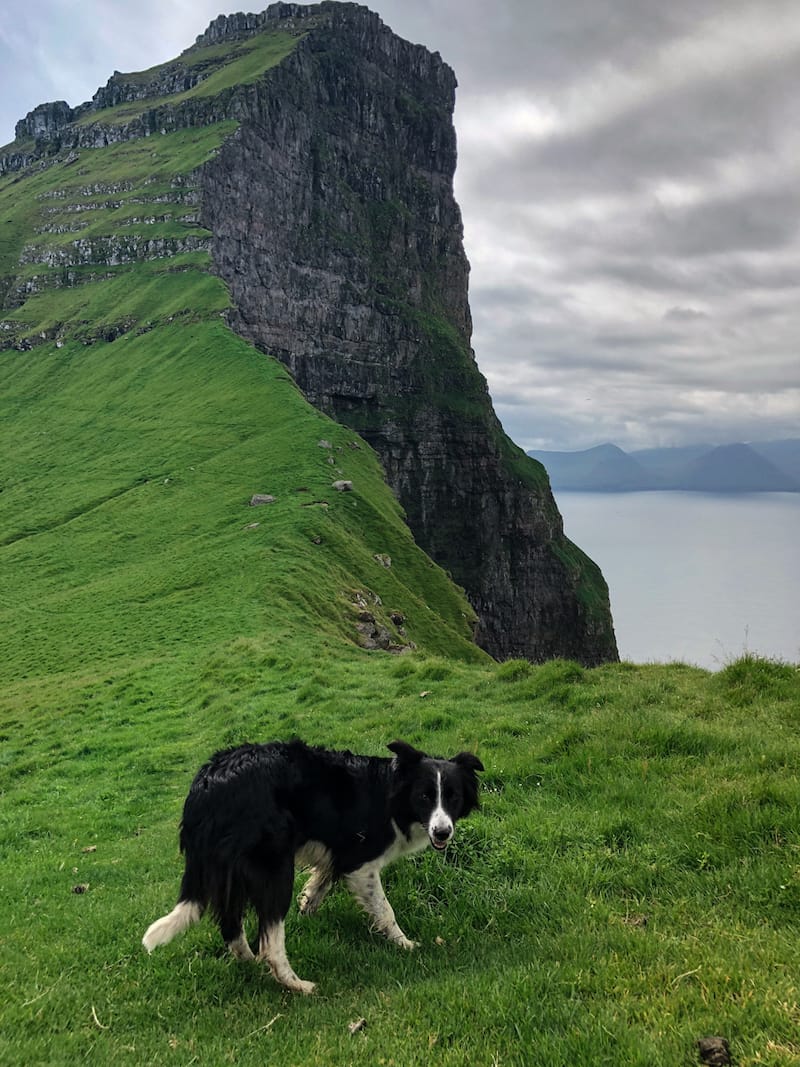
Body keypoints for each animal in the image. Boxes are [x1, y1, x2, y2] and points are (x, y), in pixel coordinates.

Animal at [140, 742, 486, 990]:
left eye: (452, 798)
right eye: (425, 797)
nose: (442, 833)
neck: (393, 793)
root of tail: (205, 790)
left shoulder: (339, 853)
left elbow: (322, 880)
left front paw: (308, 905)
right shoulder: (361, 863)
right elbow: (385, 910)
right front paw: (405, 944)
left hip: (233, 872)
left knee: (231, 926)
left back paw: (250, 964)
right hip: (274, 868)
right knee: (270, 941)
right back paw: (298, 985)